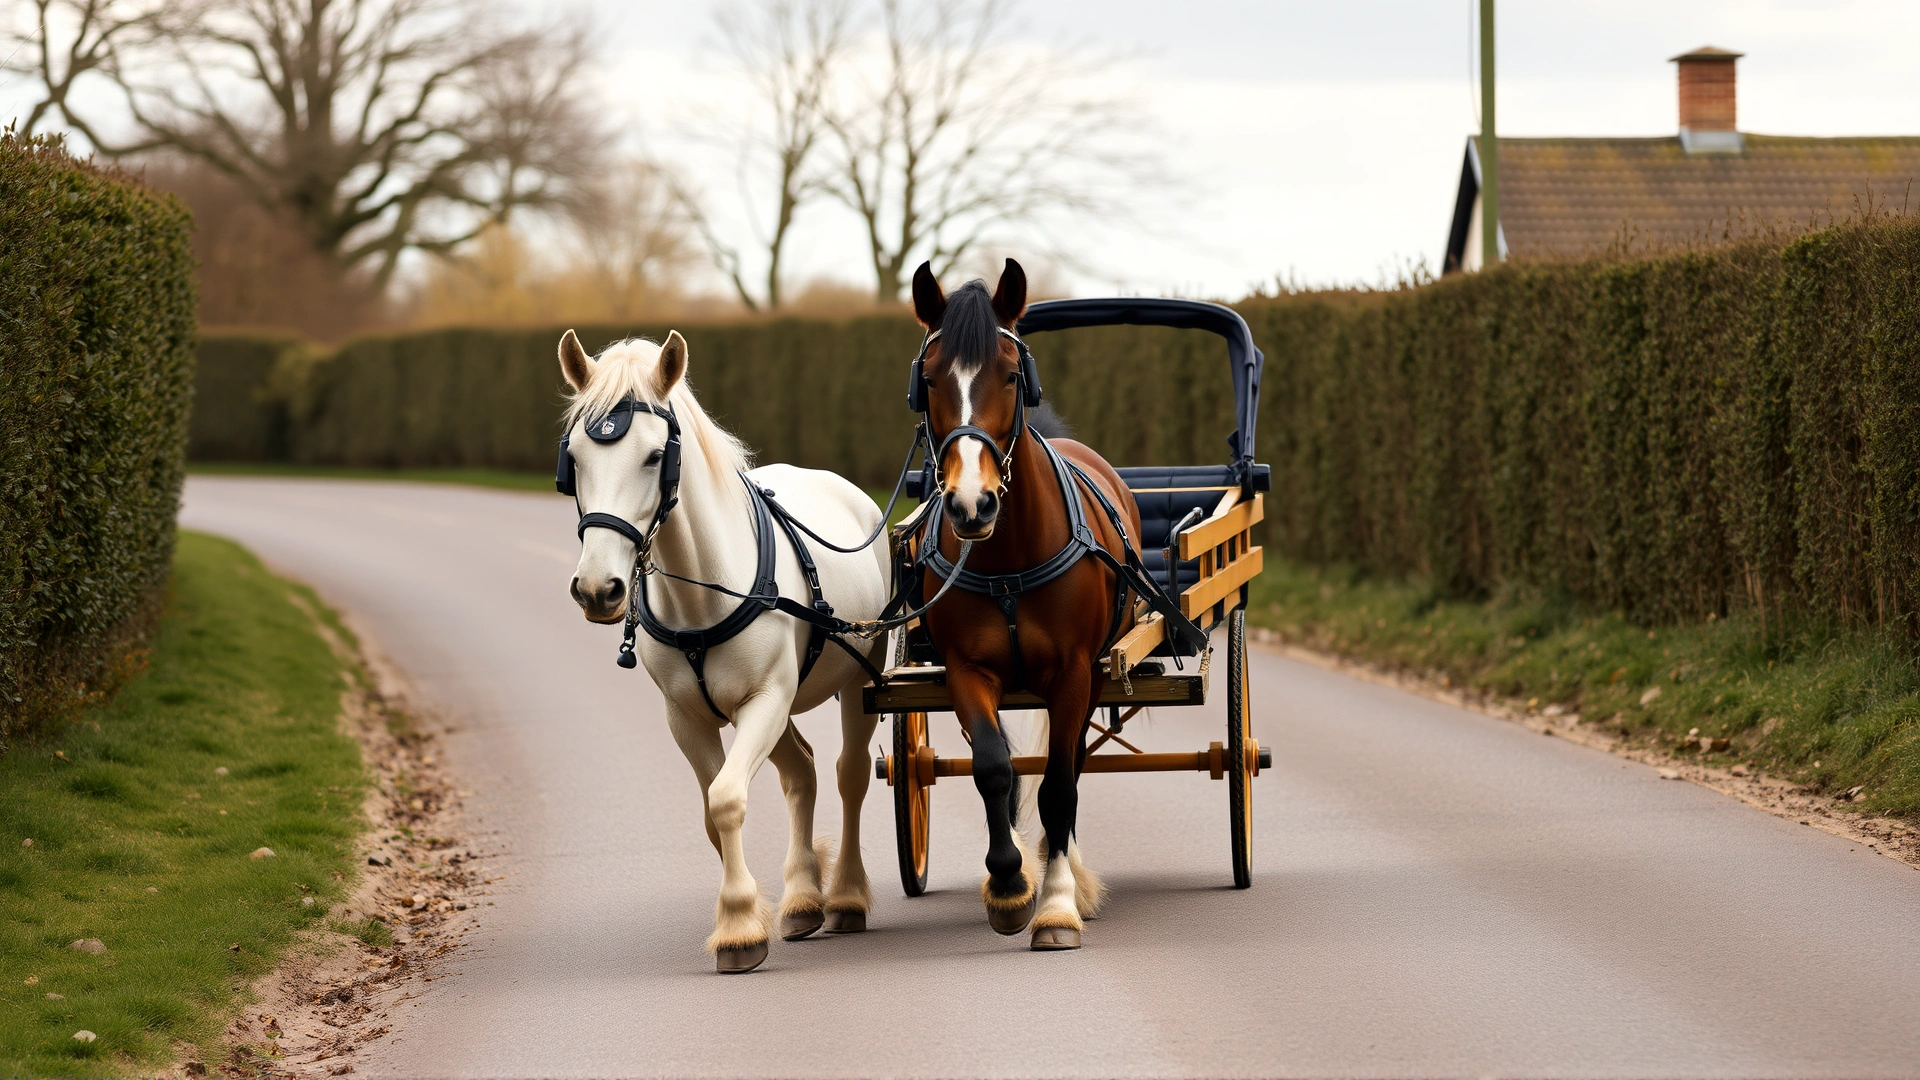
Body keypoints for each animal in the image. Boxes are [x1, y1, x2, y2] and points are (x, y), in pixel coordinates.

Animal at [558, 329, 891, 974]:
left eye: (653, 456)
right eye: (576, 459)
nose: (598, 588)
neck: (702, 595)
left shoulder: (765, 700)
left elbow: (729, 798)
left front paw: (738, 928)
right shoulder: (687, 718)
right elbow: (713, 813)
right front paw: (745, 916)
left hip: (854, 679)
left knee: (850, 775)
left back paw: (844, 894)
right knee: (802, 771)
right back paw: (804, 897)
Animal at [909, 257, 1125, 950]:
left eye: (1009, 374)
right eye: (930, 378)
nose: (971, 504)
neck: (1005, 561)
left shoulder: (1075, 673)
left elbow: (1057, 787)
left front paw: (1055, 903)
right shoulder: (966, 671)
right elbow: (993, 768)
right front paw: (1007, 883)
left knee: (1071, 769)